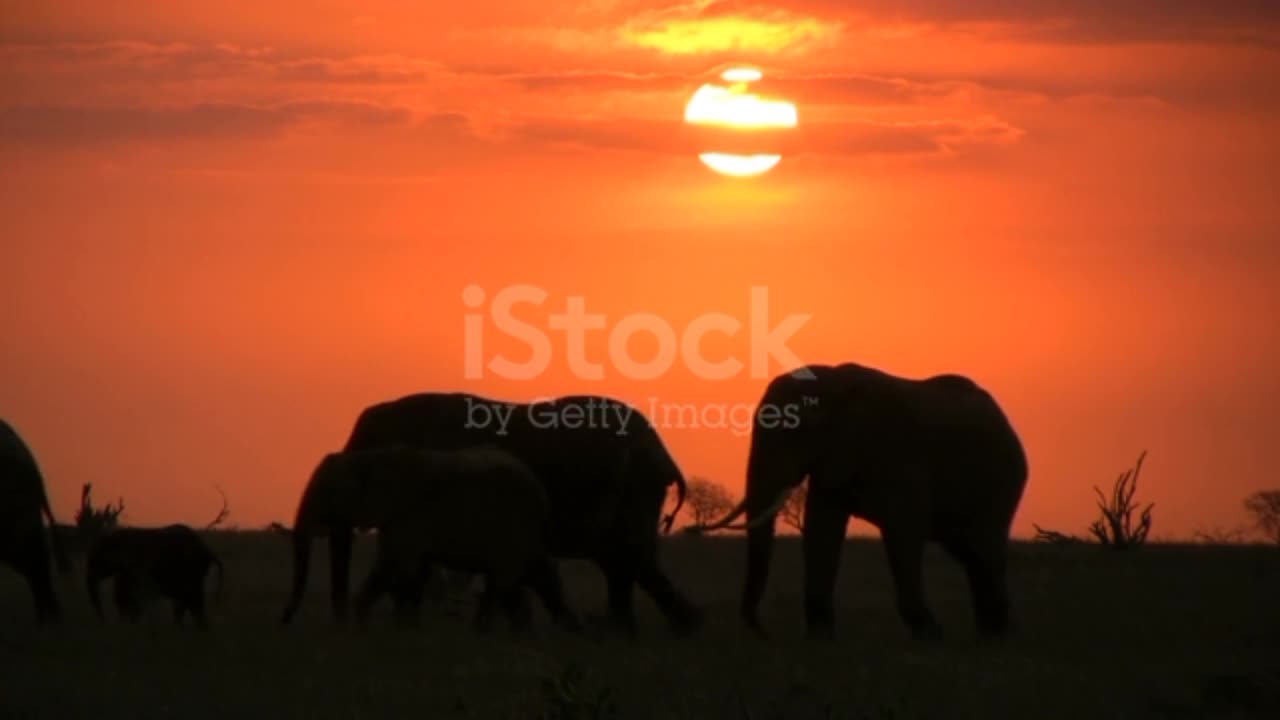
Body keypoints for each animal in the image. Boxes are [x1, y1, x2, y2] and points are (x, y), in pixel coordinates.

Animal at [86, 520, 225, 622]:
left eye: (98, 560)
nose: (103, 620)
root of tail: (207, 550)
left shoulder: (135, 567)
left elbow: (128, 596)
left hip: (192, 570)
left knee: (193, 603)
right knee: (187, 604)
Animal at [284, 440, 581, 630]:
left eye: (326, 491)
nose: (283, 623)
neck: (370, 457)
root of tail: (541, 493)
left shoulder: (410, 514)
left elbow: (404, 570)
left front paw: (405, 629)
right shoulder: (396, 520)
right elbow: (386, 567)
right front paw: (365, 625)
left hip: (514, 528)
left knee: (506, 583)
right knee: (534, 575)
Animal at [691, 363, 1029, 638]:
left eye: (793, 431)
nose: (764, 631)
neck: (831, 381)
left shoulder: (899, 456)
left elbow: (902, 532)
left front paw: (931, 634)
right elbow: (822, 529)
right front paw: (820, 638)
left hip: (1002, 480)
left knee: (984, 548)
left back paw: (997, 635)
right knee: (970, 552)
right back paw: (992, 631)